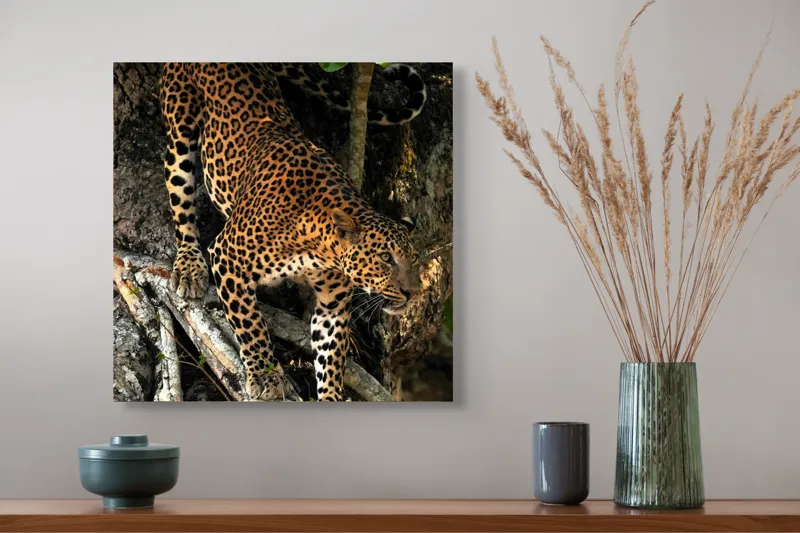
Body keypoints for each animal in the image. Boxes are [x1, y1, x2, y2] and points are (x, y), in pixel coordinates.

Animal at [159, 63, 426, 401]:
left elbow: (330, 359)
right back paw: (189, 266)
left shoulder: (332, 305)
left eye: (413, 259)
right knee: (181, 201)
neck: (318, 246)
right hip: (180, 128)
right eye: (385, 257)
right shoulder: (227, 258)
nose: (413, 292)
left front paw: (331, 397)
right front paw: (265, 375)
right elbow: (250, 324)